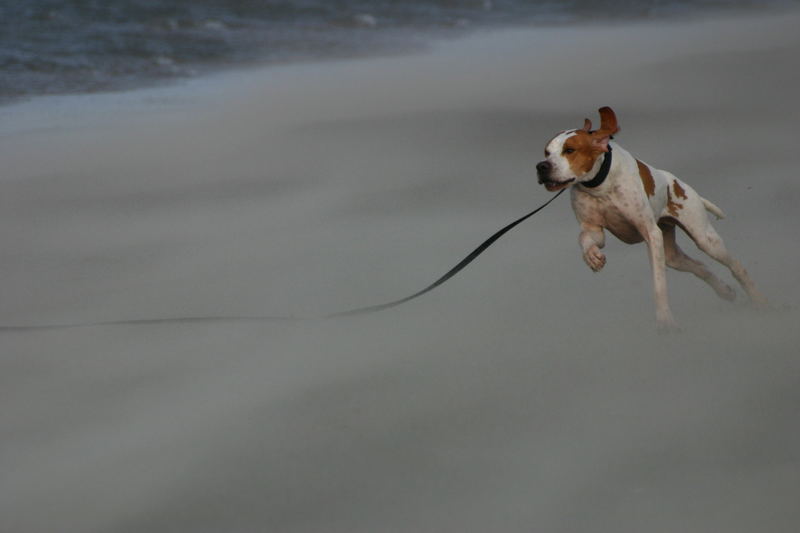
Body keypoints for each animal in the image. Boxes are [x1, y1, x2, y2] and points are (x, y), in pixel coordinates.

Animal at [536, 106, 764, 330]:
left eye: (569, 150)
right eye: (546, 152)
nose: (541, 166)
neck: (599, 184)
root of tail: (681, 184)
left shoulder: (652, 234)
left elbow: (659, 283)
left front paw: (665, 319)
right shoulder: (593, 228)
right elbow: (585, 239)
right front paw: (592, 257)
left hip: (705, 239)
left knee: (736, 266)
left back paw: (759, 301)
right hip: (672, 255)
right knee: (700, 266)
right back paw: (725, 291)